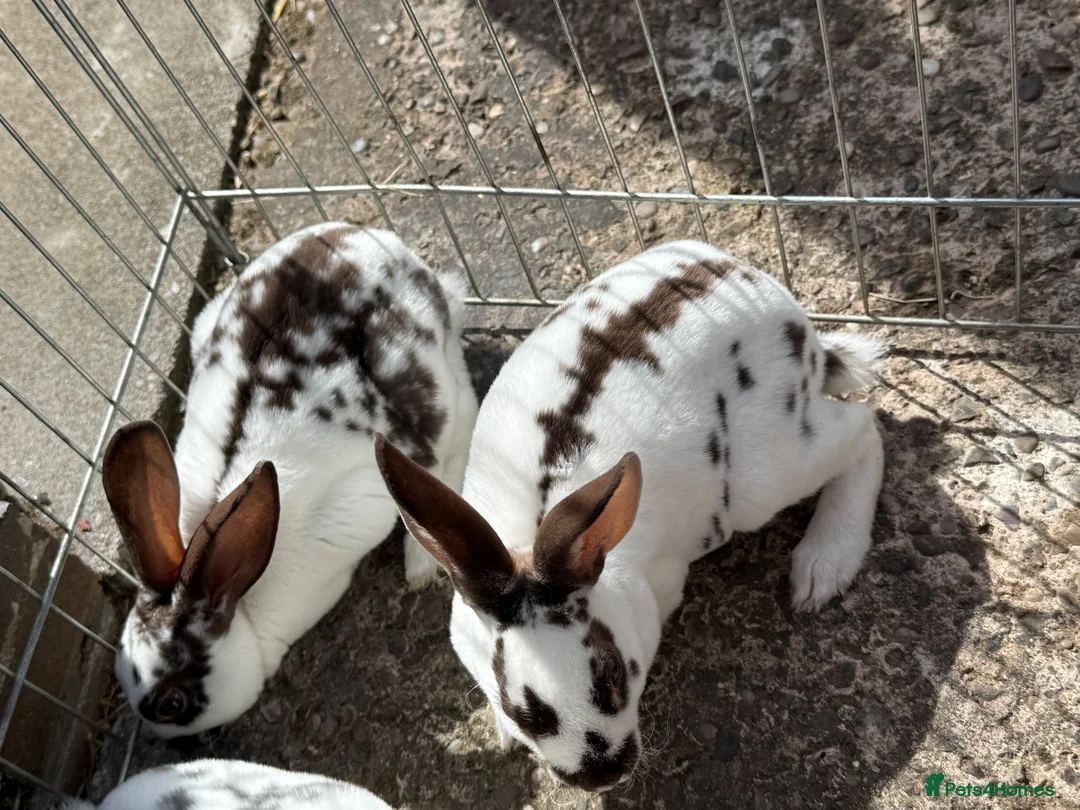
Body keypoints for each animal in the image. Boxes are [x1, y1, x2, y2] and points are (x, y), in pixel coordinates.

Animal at [101, 223, 478, 738]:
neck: (240, 602)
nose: (160, 739)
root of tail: (373, 238)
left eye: (172, 703)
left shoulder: (364, 504)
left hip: (436, 382)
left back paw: (421, 565)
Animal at [374, 240, 884, 791]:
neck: (531, 539)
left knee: (864, 427)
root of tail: (790, 315)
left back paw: (823, 567)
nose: (601, 775)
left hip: (765, 477)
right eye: (521, 711)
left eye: (615, 674)